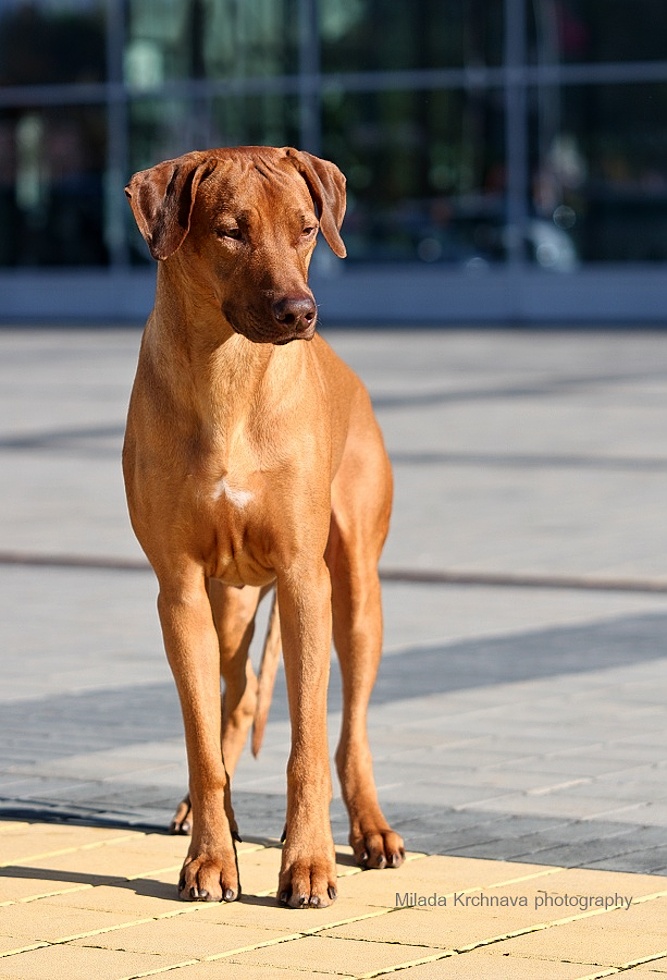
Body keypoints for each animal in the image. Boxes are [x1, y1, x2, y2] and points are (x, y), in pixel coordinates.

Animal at [124, 142, 408, 908]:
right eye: (230, 231)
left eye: (306, 228)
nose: (298, 311)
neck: (229, 374)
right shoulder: (179, 590)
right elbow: (202, 742)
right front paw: (209, 858)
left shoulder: (304, 579)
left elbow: (307, 743)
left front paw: (307, 863)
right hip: (228, 604)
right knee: (232, 697)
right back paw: (211, 820)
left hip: (355, 594)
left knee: (350, 730)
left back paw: (370, 829)